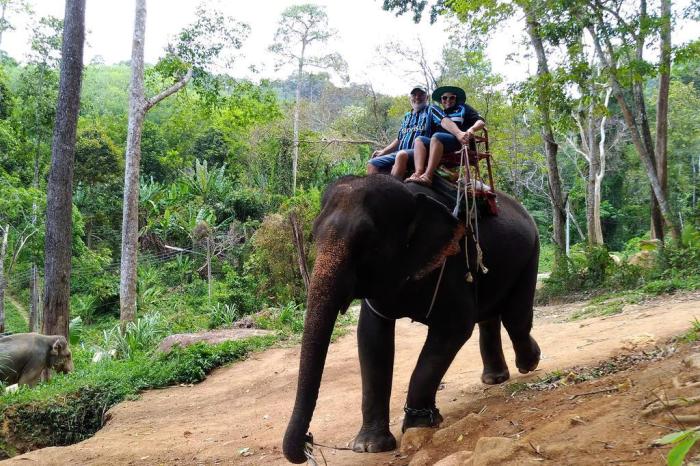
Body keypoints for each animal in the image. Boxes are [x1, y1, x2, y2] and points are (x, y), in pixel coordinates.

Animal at [282, 175, 540, 462]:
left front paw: (420, 424)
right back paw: (495, 379)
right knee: (490, 316)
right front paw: (370, 446)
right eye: (313, 235)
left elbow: (455, 329)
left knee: (515, 317)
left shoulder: (451, 261)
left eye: (368, 242)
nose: (308, 442)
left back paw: (529, 363)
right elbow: (371, 336)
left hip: (531, 252)